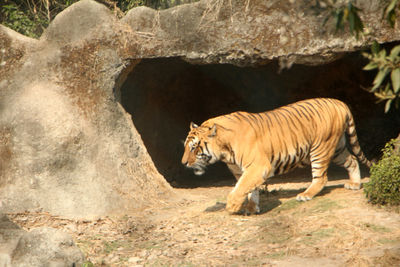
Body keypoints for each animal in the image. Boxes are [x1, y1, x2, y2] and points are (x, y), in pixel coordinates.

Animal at [181, 98, 372, 216]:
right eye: (186, 147)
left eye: (194, 148)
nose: (183, 163)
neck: (224, 150)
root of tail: (339, 102)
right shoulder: (243, 170)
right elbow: (250, 189)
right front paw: (252, 208)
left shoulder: (257, 166)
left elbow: (242, 187)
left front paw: (232, 205)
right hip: (337, 148)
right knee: (353, 160)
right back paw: (355, 184)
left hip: (320, 148)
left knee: (321, 177)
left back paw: (306, 194)